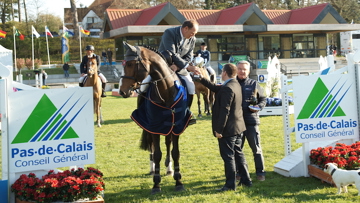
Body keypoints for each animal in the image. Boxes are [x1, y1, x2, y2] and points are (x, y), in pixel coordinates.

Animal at [119, 41, 193, 195]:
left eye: (130, 64)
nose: (122, 91)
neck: (166, 90)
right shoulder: (154, 126)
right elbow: (157, 153)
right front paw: (156, 185)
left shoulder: (176, 126)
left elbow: (175, 152)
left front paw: (178, 181)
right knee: (153, 148)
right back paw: (153, 169)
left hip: (168, 127)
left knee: (168, 143)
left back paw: (169, 169)